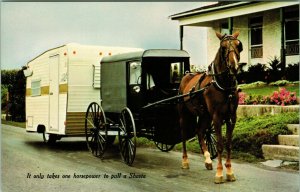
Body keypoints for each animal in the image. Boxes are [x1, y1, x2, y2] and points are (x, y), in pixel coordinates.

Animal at [179, 31, 243, 183]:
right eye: (223, 47)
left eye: (238, 45)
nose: (234, 67)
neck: (223, 85)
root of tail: (186, 76)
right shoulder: (217, 117)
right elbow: (219, 145)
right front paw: (219, 173)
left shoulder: (232, 118)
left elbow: (228, 144)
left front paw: (229, 171)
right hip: (185, 113)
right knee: (184, 134)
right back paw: (185, 161)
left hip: (205, 115)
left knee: (200, 131)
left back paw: (207, 159)